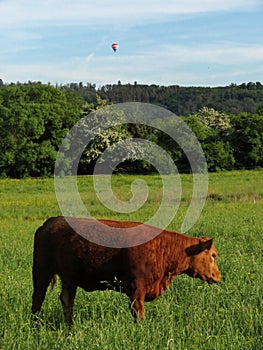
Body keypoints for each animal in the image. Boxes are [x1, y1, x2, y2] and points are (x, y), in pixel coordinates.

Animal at [31, 216, 221, 322]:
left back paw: (70, 327)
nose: (218, 276)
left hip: (69, 278)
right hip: (41, 271)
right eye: (213, 255)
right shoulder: (136, 288)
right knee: (38, 299)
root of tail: (49, 223)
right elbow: (138, 313)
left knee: (66, 301)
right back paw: (35, 325)